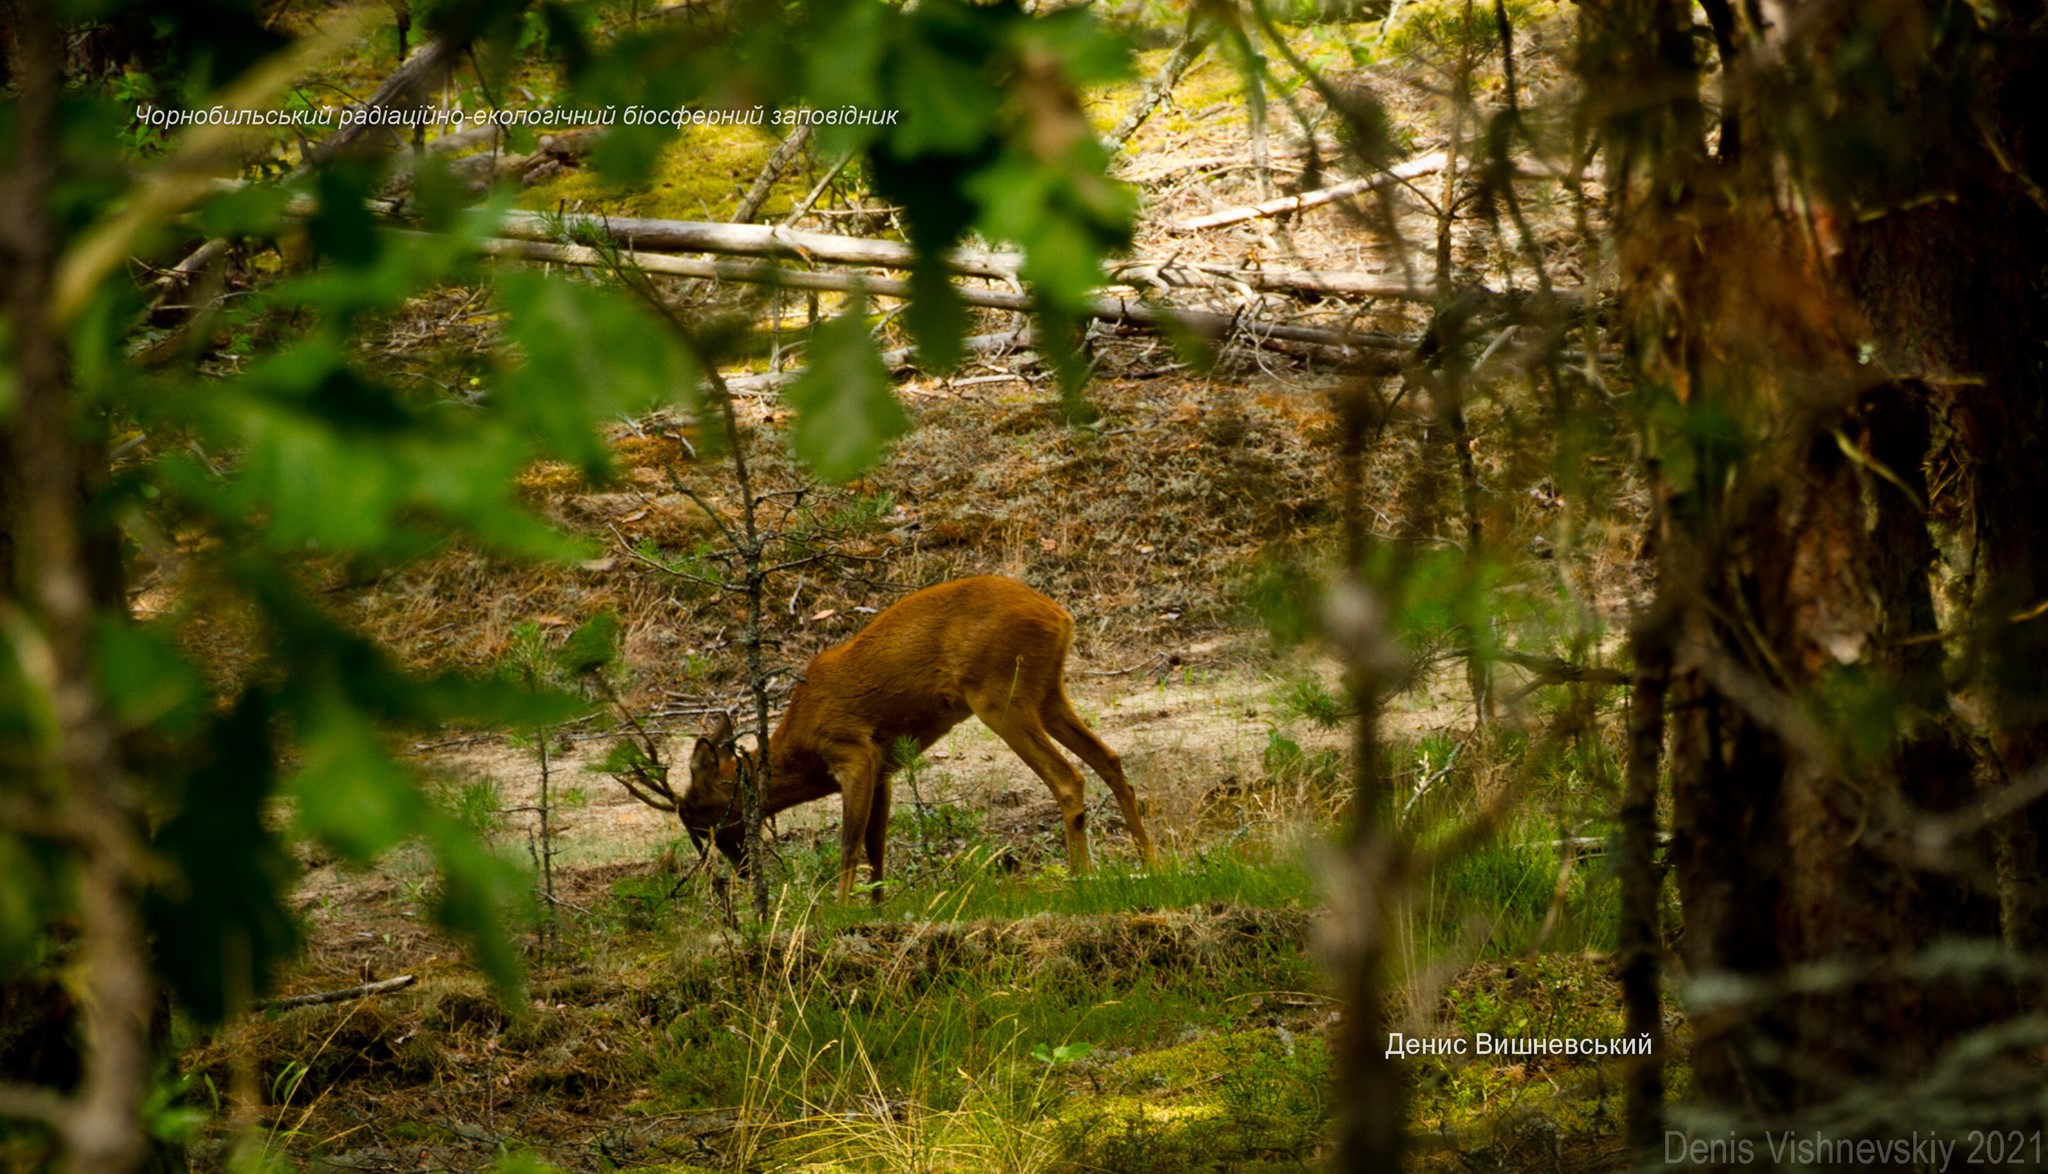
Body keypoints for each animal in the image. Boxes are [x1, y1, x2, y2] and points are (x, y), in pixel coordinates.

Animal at [671, 573, 1155, 897]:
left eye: (697, 815)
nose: (740, 871)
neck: (801, 748)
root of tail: (1061, 616)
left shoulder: (852, 750)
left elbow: (849, 844)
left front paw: (840, 909)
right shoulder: (885, 765)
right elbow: (876, 844)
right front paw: (878, 905)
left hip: (999, 694)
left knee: (1068, 778)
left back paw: (1081, 879)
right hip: (1046, 692)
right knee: (1111, 760)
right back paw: (1151, 862)